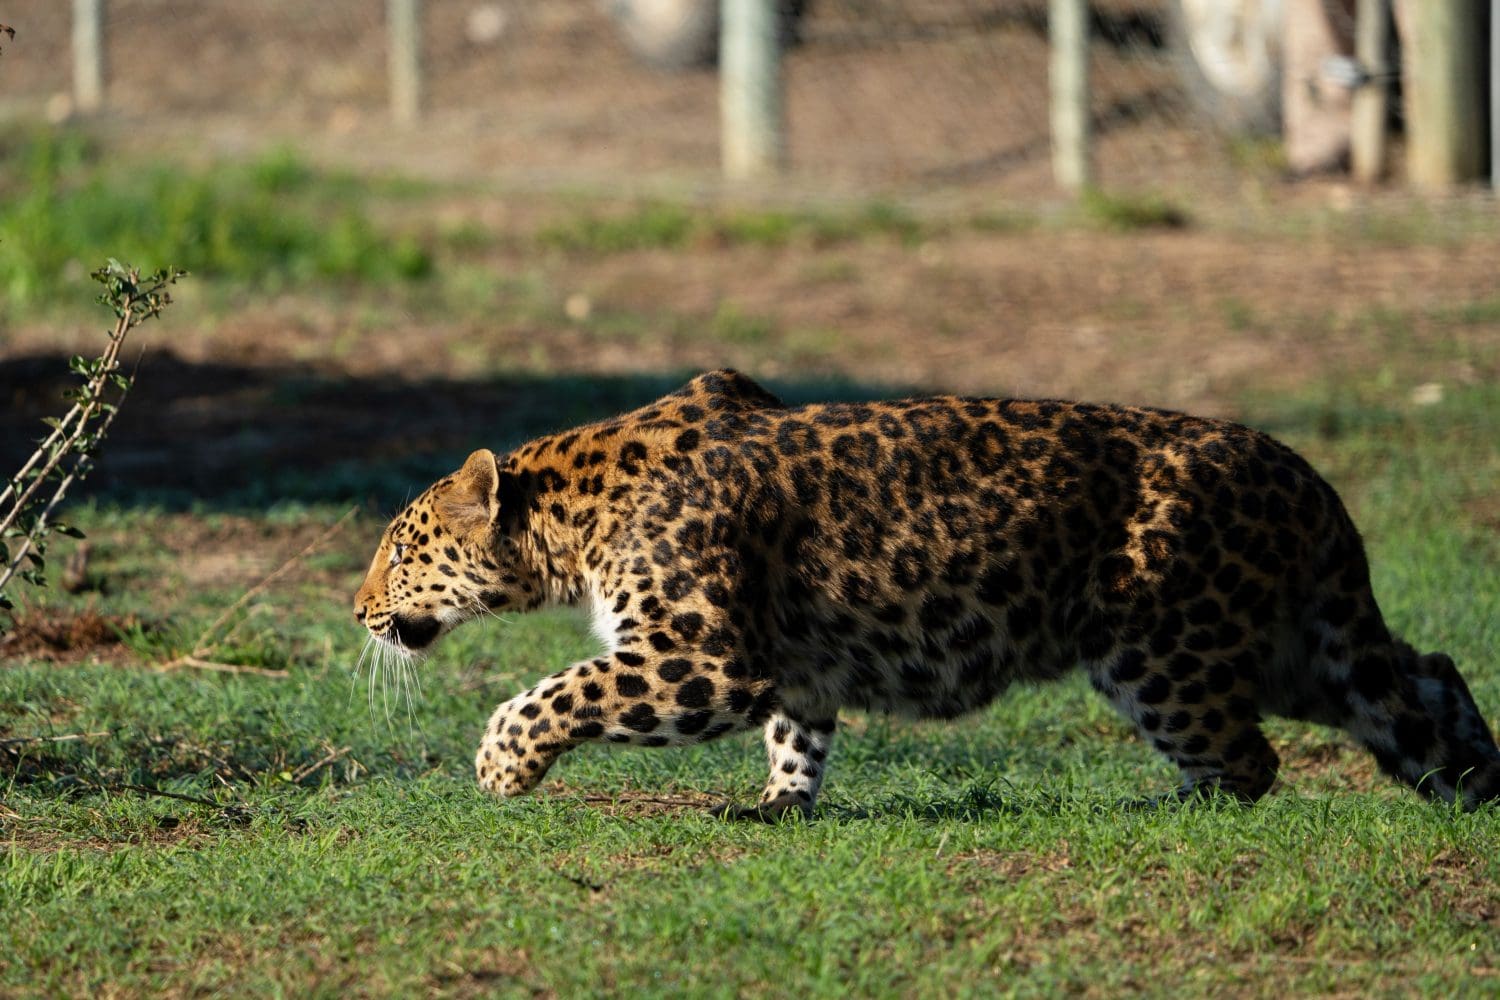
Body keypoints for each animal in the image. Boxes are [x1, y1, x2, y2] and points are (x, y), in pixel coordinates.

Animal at [354, 371, 1500, 815]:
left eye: (400, 550)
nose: (358, 612)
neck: (571, 512)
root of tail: (1305, 477)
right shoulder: (788, 665)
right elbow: (799, 732)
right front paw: (780, 806)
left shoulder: (700, 658)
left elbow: (559, 690)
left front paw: (502, 765)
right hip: (1301, 646)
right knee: (1422, 678)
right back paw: (1475, 780)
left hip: (1161, 646)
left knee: (1249, 760)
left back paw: (1167, 804)